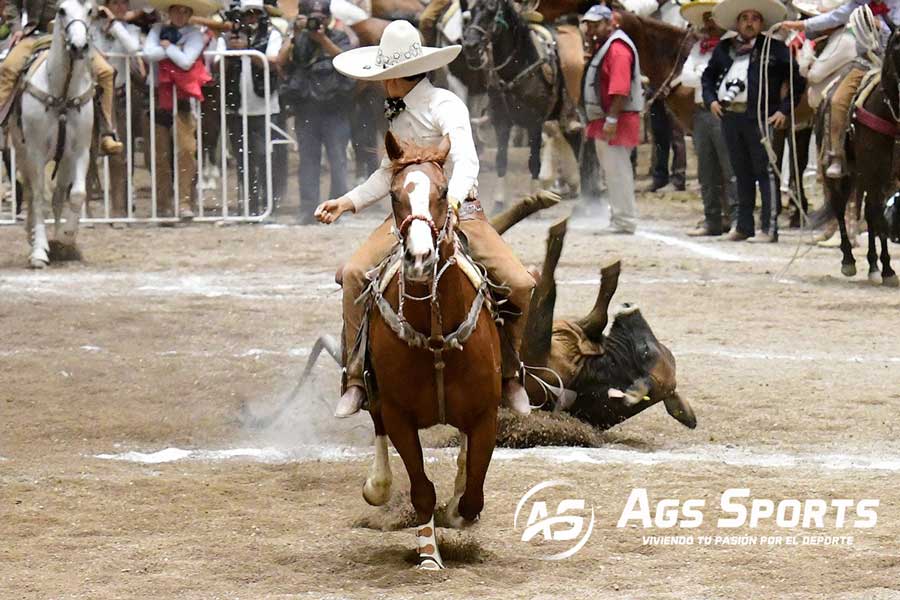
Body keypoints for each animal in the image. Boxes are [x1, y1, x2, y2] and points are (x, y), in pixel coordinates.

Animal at [362, 132, 502, 572]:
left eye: (442, 192)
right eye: (394, 195)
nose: (420, 258)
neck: (436, 334)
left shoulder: (485, 414)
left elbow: (473, 492)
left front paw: (457, 511)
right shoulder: (399, 416)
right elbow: (421, 488)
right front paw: (428, 553)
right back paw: (377, 484)